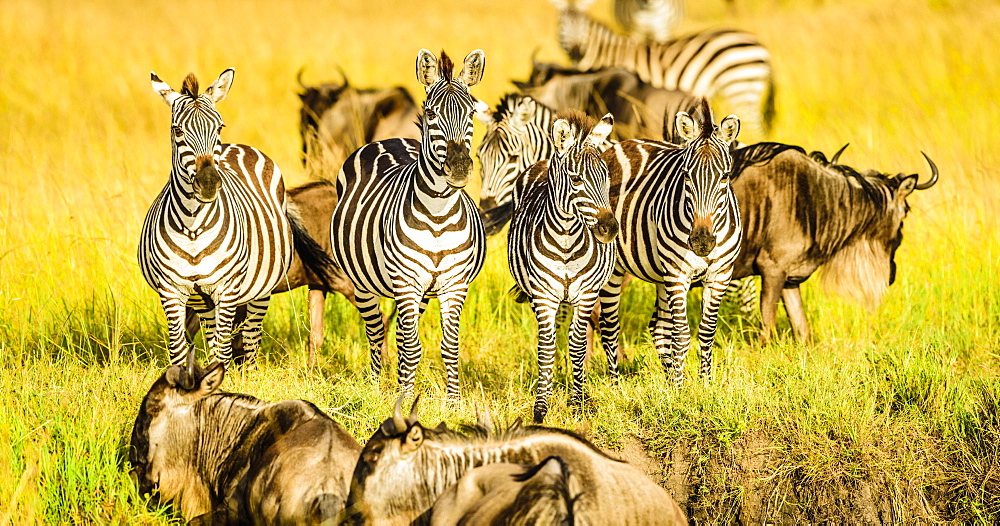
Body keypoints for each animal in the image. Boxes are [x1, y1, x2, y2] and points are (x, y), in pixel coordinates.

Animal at [139, 68, 332, 378]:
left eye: (219, 127)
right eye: (178, 130)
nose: (208, 183)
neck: (193, 227)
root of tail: (239, 147)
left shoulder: (227, 288)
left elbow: (223, 348)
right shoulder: (171, 290)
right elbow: (180, 347)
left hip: (260, 287)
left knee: (250, 335)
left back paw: (249, 373)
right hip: (202, 297)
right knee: (212, 334)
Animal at [332, 50, 488, 400]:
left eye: (472, 112)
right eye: (430, 112)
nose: (459, 169)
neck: (438, 215)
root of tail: (389, 139)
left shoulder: (454, 284)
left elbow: (448, 347)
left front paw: (453, 403)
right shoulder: (406, 281)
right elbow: (412, 346)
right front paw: (402, 399)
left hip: (423, 293)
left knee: (402, 337)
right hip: (364, 284)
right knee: (376, 332)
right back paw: (376, 388)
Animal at [508, 111, 616, 424]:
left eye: (606, 177)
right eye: (576, 179)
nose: (610, 230)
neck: (567, 239)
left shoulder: (587, 294)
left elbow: (578, 344)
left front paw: (577, 403)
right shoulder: (544, 296)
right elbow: (546, 347)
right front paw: (541, 408)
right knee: (552, 335)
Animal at [556, 0, 772, 136]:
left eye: (582, 28)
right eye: (562, 26)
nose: (576, 51)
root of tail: (759, 44)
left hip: (740, 88)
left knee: (755, 130)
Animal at [596, 100, 740, 388]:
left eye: (725, 177)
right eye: (686, 175)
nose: (702, 242)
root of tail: (618, 145)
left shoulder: (720, 275)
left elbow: (706, 332)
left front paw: (704, 385)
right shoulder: (677, 273)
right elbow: (682, 335)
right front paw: (683, 391)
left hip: (661, 275)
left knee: (658, 327)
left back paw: (668, 382)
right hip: (616, 270)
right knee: (610, 325)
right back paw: (616, 385)